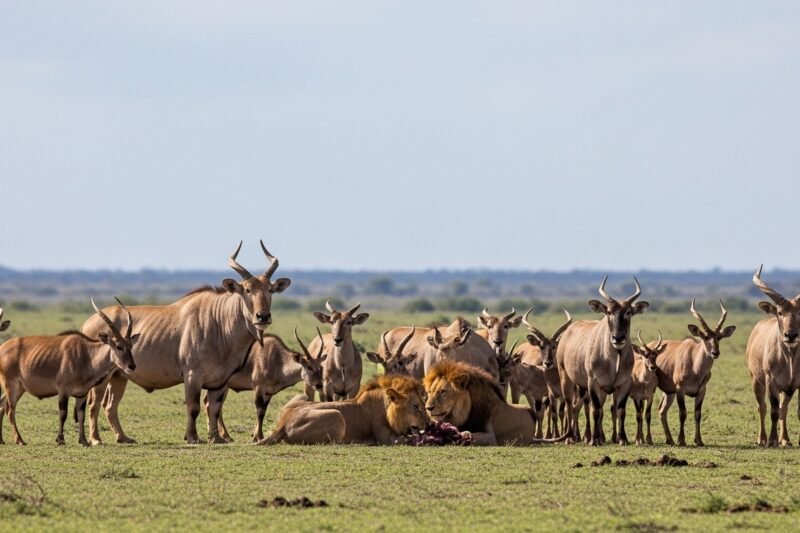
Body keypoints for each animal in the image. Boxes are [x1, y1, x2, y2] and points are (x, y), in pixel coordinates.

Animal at [258, 374, 428, 445]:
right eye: (416, 407)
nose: (429, 424)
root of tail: (282, 424)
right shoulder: (386, 438)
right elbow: (409, 439)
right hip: (337, 415)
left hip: (303, 396)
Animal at [424, 360, 567, 445]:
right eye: (429, 391)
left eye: (443, 392)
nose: (428, 408)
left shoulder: (490, 436)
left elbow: (470, 434)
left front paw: (460, 435)